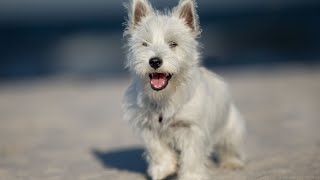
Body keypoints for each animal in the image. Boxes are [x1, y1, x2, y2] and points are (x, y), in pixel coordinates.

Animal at [122, 0, 245, 179]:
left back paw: (232, 163)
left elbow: (192, 156)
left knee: (229, 148)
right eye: (145, 44)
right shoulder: (149, 127)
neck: (165, 98)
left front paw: (191, 175)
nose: (154, 61)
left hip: (231, 128)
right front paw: (164, 169)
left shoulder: (192, 129)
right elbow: (157, 150)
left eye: (173, 44)